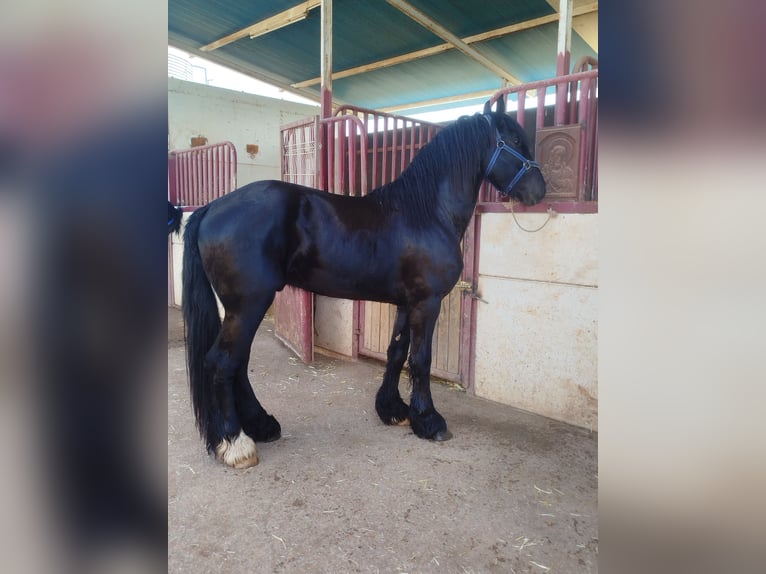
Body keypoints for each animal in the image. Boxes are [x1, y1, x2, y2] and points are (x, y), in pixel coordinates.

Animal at [182, 98, 546, 468]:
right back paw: (236, 443)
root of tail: (211, 207)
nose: (539, 190)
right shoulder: (428, 302)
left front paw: (393, 410)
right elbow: (421, 359)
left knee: (238, 364)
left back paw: (261, 425)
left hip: (243, 308)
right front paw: (429, 420)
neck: (426, 213)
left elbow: (396, 352)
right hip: (249, 305)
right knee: (222, 363)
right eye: (515, 141)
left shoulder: (407, 303)